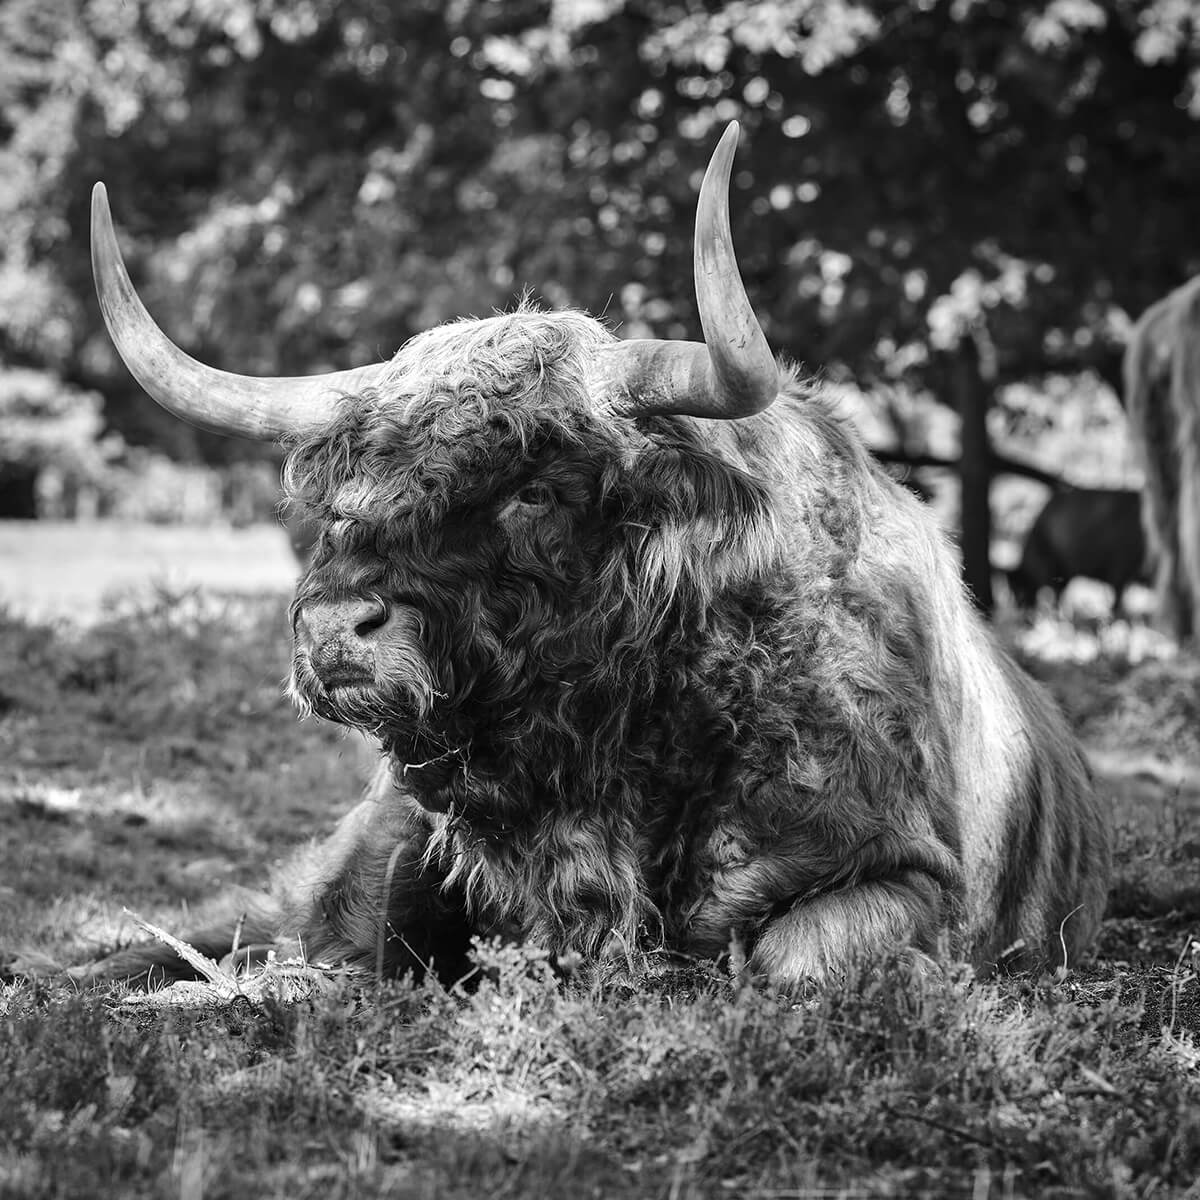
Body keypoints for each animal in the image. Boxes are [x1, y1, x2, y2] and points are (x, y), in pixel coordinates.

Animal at [79, 121, 1113, 988]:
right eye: (340, 495)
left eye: (537, 487)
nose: (337, 628)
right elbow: (358, 950)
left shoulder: (905, 871)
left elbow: (792, 957)